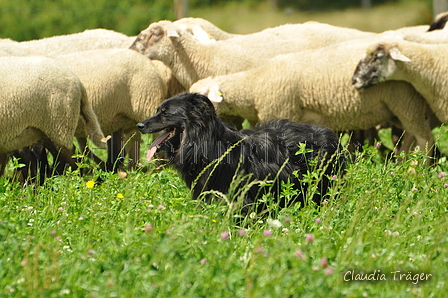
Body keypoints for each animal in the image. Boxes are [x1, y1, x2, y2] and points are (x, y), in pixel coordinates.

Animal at [189, 36, 434, 155]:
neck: (255, 83)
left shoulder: (281, 111)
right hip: (400, 109)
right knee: (410, 137)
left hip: (404, 101)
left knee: (424, 138)